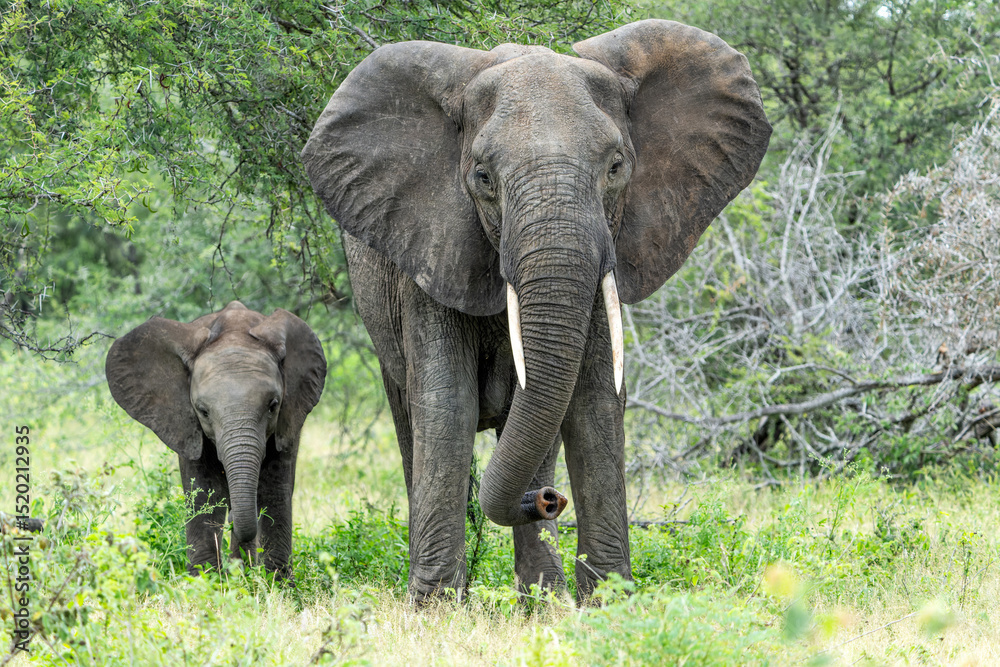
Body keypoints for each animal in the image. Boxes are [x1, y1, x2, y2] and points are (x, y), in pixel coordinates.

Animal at [106, 301, 326, 578]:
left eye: (273, 405)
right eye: (203, 411)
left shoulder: (289, 416)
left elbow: (275, 488)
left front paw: (279, 584)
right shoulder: (186, 426)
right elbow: (204, 491)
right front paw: (204, 581)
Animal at [301, 19, 770, 601]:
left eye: (616, 167)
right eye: (482, 177)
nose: (548, 500)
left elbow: (594, 402)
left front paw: (608, 604)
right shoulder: (428, 252)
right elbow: (447, 404)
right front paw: (434, 609)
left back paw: (543, 601)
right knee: (412, 418)